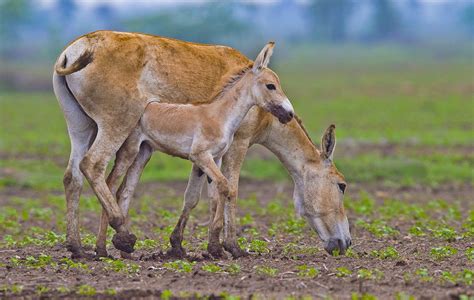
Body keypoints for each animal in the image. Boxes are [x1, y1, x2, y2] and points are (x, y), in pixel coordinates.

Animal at [102, 42, 294, 258]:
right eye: (270, 85)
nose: (289, 114)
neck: (220, 116)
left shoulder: (216, 158)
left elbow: (218, 192)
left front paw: (215, 246)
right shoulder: (200, 156)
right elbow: (224, 186)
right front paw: (218, 247)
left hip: (144, 152)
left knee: (125, 190)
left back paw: (124, 248)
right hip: (130, 149)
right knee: (109, 182)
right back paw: (109, 245)